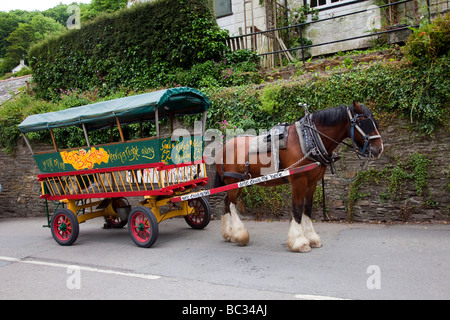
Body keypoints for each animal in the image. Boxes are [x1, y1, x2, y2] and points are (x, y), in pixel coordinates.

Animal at [214, 102, 384, 252]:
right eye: (364, 122)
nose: (379, 149)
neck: (308, 140)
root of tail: (224, 146)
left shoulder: (312, 183)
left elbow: (307, 209)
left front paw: (312, 238)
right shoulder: (298, 181)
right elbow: (297, 208)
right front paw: (299, 242)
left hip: (239, 182)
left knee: (227, 202)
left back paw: (229, 234)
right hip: (233, 180)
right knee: (232, 205)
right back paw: (239, 234)